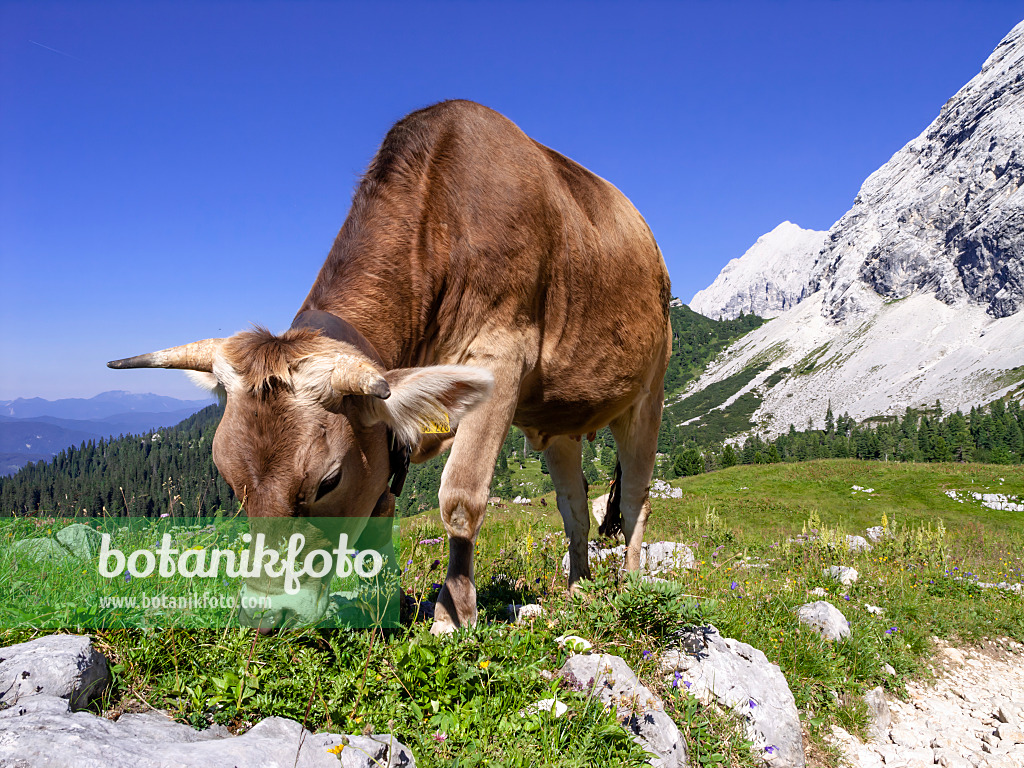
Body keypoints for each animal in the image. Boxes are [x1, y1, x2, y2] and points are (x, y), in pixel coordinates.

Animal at [108, 99, 671, 634]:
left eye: (328, 482)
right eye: (228, 478)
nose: (266, 618)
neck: (443, 220)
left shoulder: (502, 359)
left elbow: (460, 498)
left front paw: (453, 613)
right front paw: (379, 609)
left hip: (648, 395)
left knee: (635, 498)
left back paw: (633, 585)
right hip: (559, 425)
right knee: (575, 506)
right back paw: (578, 589)